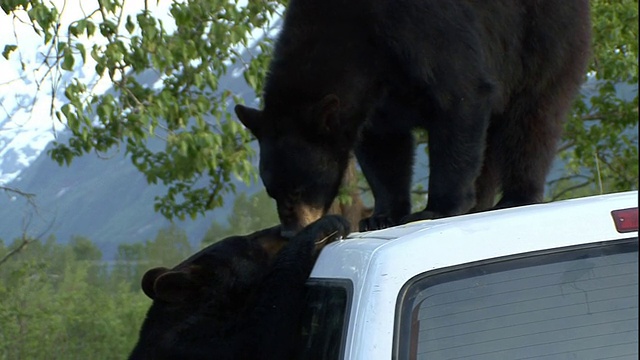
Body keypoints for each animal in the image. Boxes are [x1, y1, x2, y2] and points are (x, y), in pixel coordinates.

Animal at [235, 0, 592, 235]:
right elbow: (382, 146)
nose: (290, 232)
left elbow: (460, 99)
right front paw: (381, 216)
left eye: (298, 189)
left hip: (540, 38)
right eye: (272, 190)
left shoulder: (422, 30)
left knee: (532, 116)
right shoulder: (377, 94)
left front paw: (439, 207)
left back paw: (516, 196)